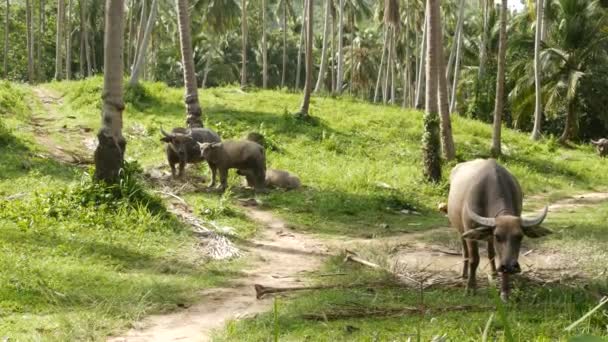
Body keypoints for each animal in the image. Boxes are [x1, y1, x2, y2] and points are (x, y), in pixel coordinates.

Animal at [446, 159, 552, 300]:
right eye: (498, 236)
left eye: (520, 236)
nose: (511, 266)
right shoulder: (470, 229)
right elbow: (474, 260)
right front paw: (470, 288)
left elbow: (501, 257)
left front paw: (505, 292)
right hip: (460, 229)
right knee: (465, 251)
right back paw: (464, 274)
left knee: (491, 252)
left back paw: (494, 273)